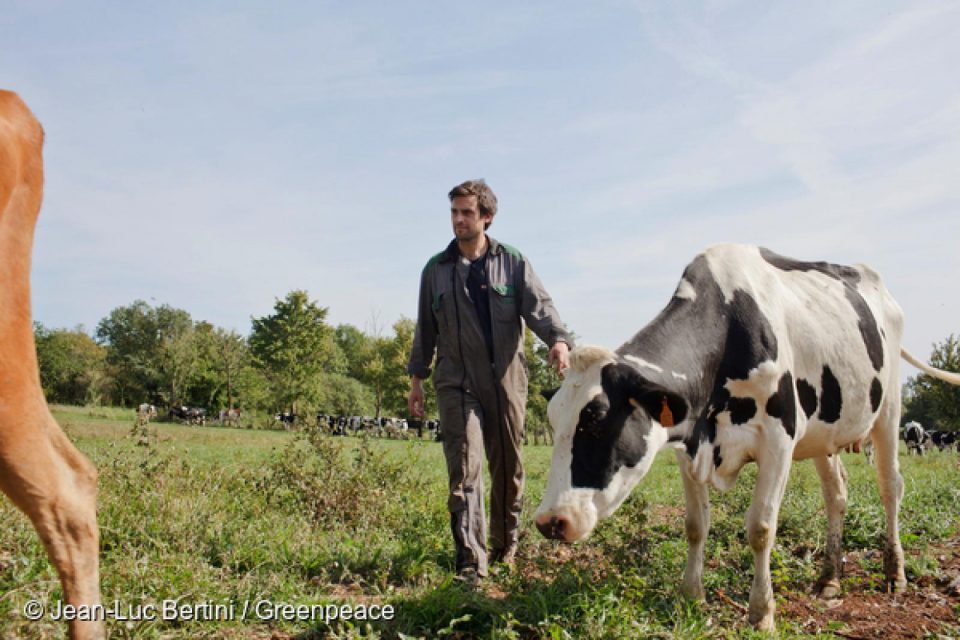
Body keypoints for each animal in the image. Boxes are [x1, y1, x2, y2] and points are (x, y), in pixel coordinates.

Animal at [532, 244, 960, 632]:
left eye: (597, 418)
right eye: (555, 420)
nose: (550, 521)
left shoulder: (778, 439)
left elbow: (760, 528)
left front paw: (761, 612)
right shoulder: (688, 447)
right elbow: (695, 524)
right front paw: (692, 596)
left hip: (888, 412)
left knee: (890, 487)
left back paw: (895, 573)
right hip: (824, 430)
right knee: (836, 494)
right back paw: (829, 578)